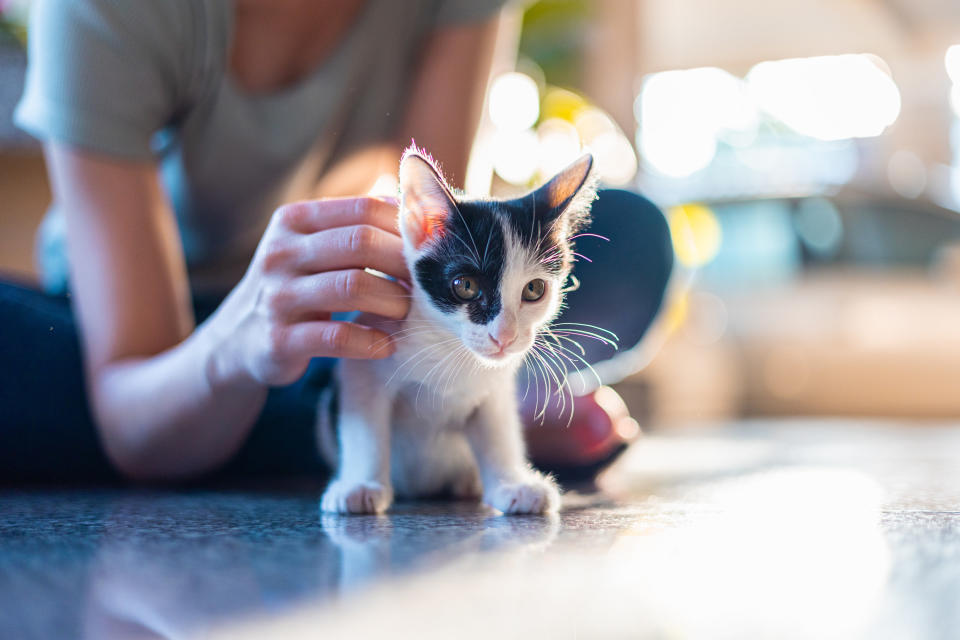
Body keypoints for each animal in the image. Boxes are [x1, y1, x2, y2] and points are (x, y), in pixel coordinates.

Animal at [318, 145, 596, 516]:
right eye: (465, 286)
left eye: (534, 290)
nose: (504, 336)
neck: (447, 347)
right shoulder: (362, 359)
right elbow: (365, 429)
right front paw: (360, 485)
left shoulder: (495, 388)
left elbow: (498, 432)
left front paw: (511, 483)